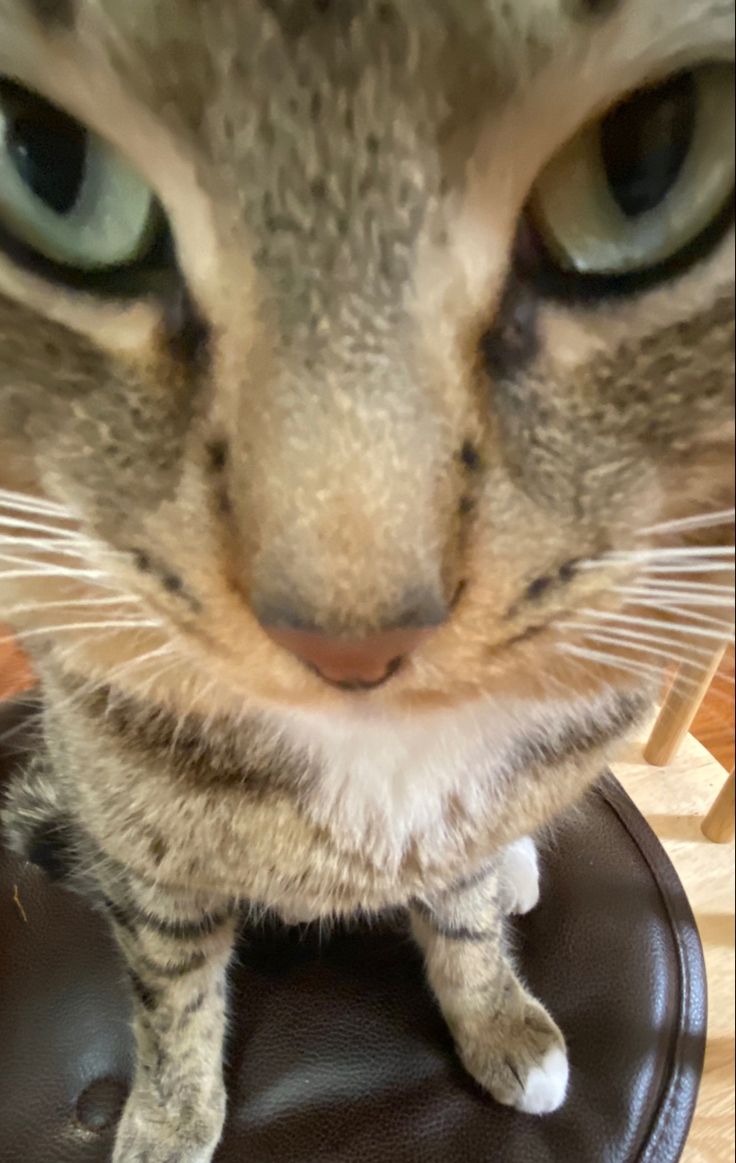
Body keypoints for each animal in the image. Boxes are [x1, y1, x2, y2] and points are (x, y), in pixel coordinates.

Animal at [0, 2, 730, 1163]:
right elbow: (172, 992)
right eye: (47, 165)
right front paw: (170, 1110)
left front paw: (497, 1016)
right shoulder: (147, 854)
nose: (353, 632)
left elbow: (465, 919)